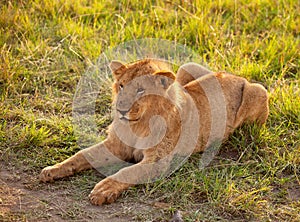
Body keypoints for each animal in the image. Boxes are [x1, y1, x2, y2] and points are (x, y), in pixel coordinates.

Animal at [38, 58, 268, 205]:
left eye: (140, 90)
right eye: (121, 86)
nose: (121, 109)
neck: (137, 125)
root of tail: (236, 76)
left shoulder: (159, 162)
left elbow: (128, 172)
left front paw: (103, 190)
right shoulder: (115, 146)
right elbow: (82, 155)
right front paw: (53, 169)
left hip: (257, 91)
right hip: (186, 69)